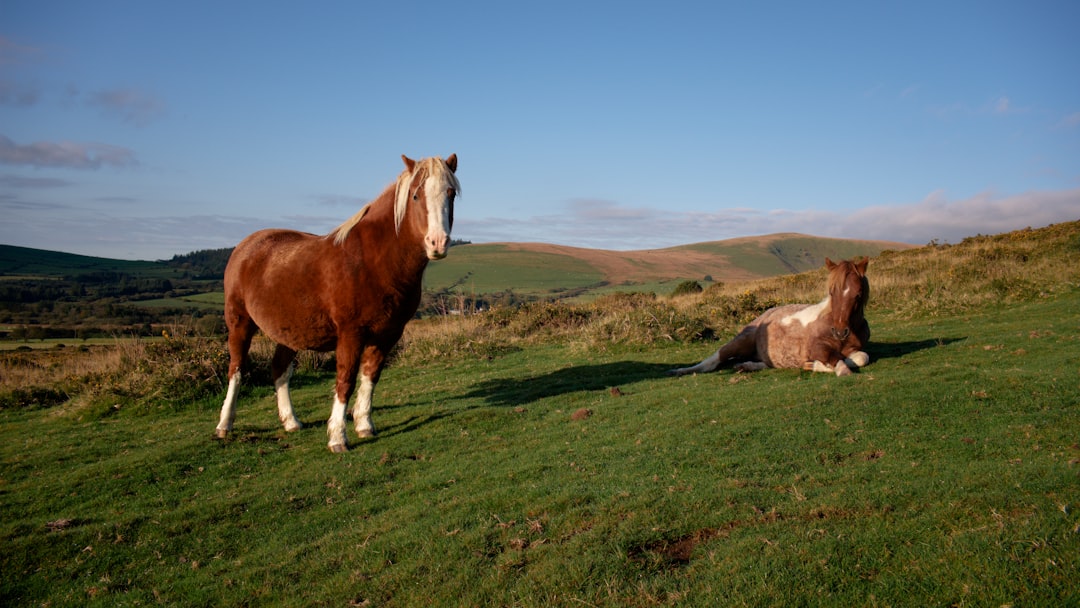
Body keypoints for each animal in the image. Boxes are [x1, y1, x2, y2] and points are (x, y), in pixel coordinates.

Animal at [215, 153, 460, 452]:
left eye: (450, 193)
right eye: (415, 195)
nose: (438, 243)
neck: (372, 261)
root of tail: (245, 246)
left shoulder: (387, 334)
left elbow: (370, 377)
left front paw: (364, 425)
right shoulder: (351, 334)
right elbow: (345, 380)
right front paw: (337, 437)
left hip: (290, 332)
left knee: (279, 369)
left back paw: (291, 422)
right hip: (239, 323)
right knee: (236, 370)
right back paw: (224, 425)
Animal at [669, 257, 870, 377]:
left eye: (858, 294)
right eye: (831, 291)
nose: (840, 331)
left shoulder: (855, 349)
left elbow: (861, 358)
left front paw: (813, 366)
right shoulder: (817, 348)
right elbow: (836, 359)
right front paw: (823, 367)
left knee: (765, 362)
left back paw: (745, 366)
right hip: (741, 341)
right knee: (713, 360)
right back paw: (681, 370)